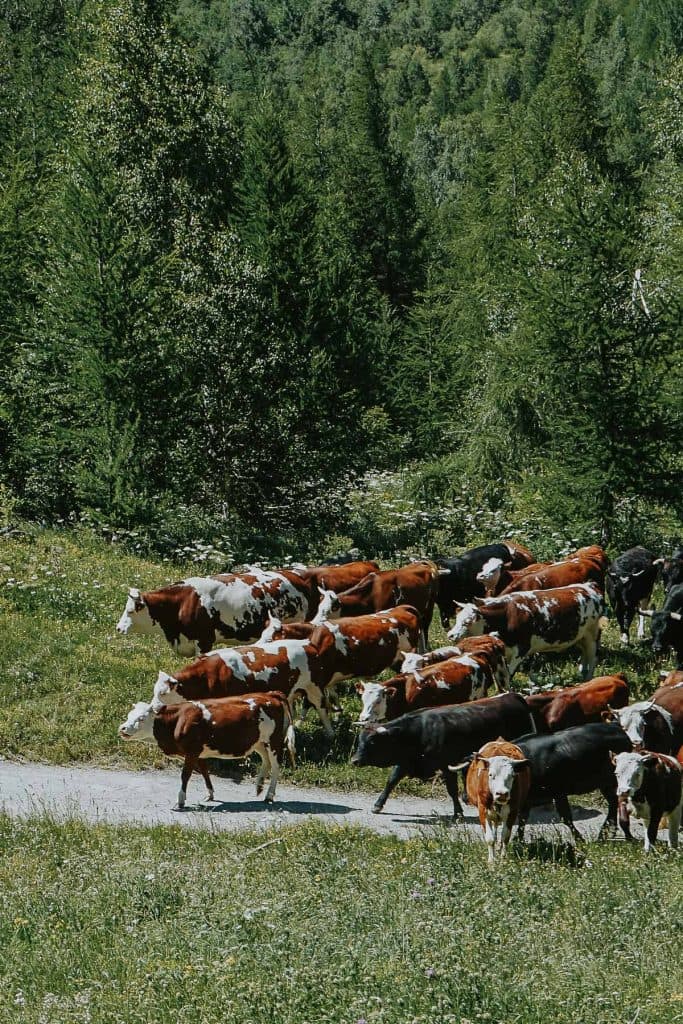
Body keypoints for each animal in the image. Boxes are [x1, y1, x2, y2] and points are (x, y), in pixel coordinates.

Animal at [118, 691, 295, 808]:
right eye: (129, 715)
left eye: (141, 718)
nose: (122, 728)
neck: (178, 720)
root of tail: (271, 694)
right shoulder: (197, 752)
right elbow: (204, 771)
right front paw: (210, 794)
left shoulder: (191, 751)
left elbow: (185, 775)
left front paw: (180, 801)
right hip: (259, 742)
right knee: (266, 761)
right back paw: (259, 787)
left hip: (274, 741)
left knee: (276, 766)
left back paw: (269, 795)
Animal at [151, 639, 335, 736]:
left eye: (163, 693)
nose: (153, 707)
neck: (205, 676)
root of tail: (307, 643)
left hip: (314, 688)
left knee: (322, 709)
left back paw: (330, 734)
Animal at [350, 692, 535, 817]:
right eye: (360, 740)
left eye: (372, 742)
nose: (354, 760)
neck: (418, 732)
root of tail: (513, 695)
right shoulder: (405, 762)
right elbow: (391, 782)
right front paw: (378, 804)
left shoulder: (446, 764)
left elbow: (451, 789)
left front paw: (457, 812)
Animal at [355, 640, 508, 724]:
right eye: (363, 699)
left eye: (378, 700)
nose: (363, 718)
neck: (404, 690)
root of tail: (474, 654)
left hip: (478, 696)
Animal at [446, 582, 604, 679]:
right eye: (457, 618)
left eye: (467, 621)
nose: (451, 635)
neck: (507, 615)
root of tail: (588, 586)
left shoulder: (522, 649)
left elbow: (509, 674)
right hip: (580, 635)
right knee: (585, 654)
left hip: (592, 632)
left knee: (593, 656)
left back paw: (587, 679)